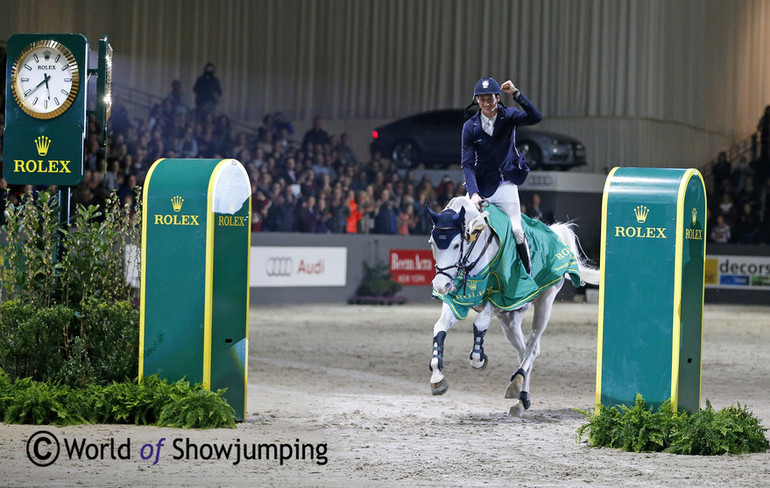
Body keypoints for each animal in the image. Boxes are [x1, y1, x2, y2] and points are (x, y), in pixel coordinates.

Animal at [426, 194, 600, 416]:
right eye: (433, 243)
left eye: (456, 245)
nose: (441, 286)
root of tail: (555, 233)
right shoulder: (457, 302)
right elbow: (439, 329)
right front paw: (437, 378)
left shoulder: (499, 298)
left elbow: (479, 325)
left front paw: (479, 359)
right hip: (509, 319)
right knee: (524, 350)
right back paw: (521, 399)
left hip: (545, 301)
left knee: (532, 347)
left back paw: (517, 383)